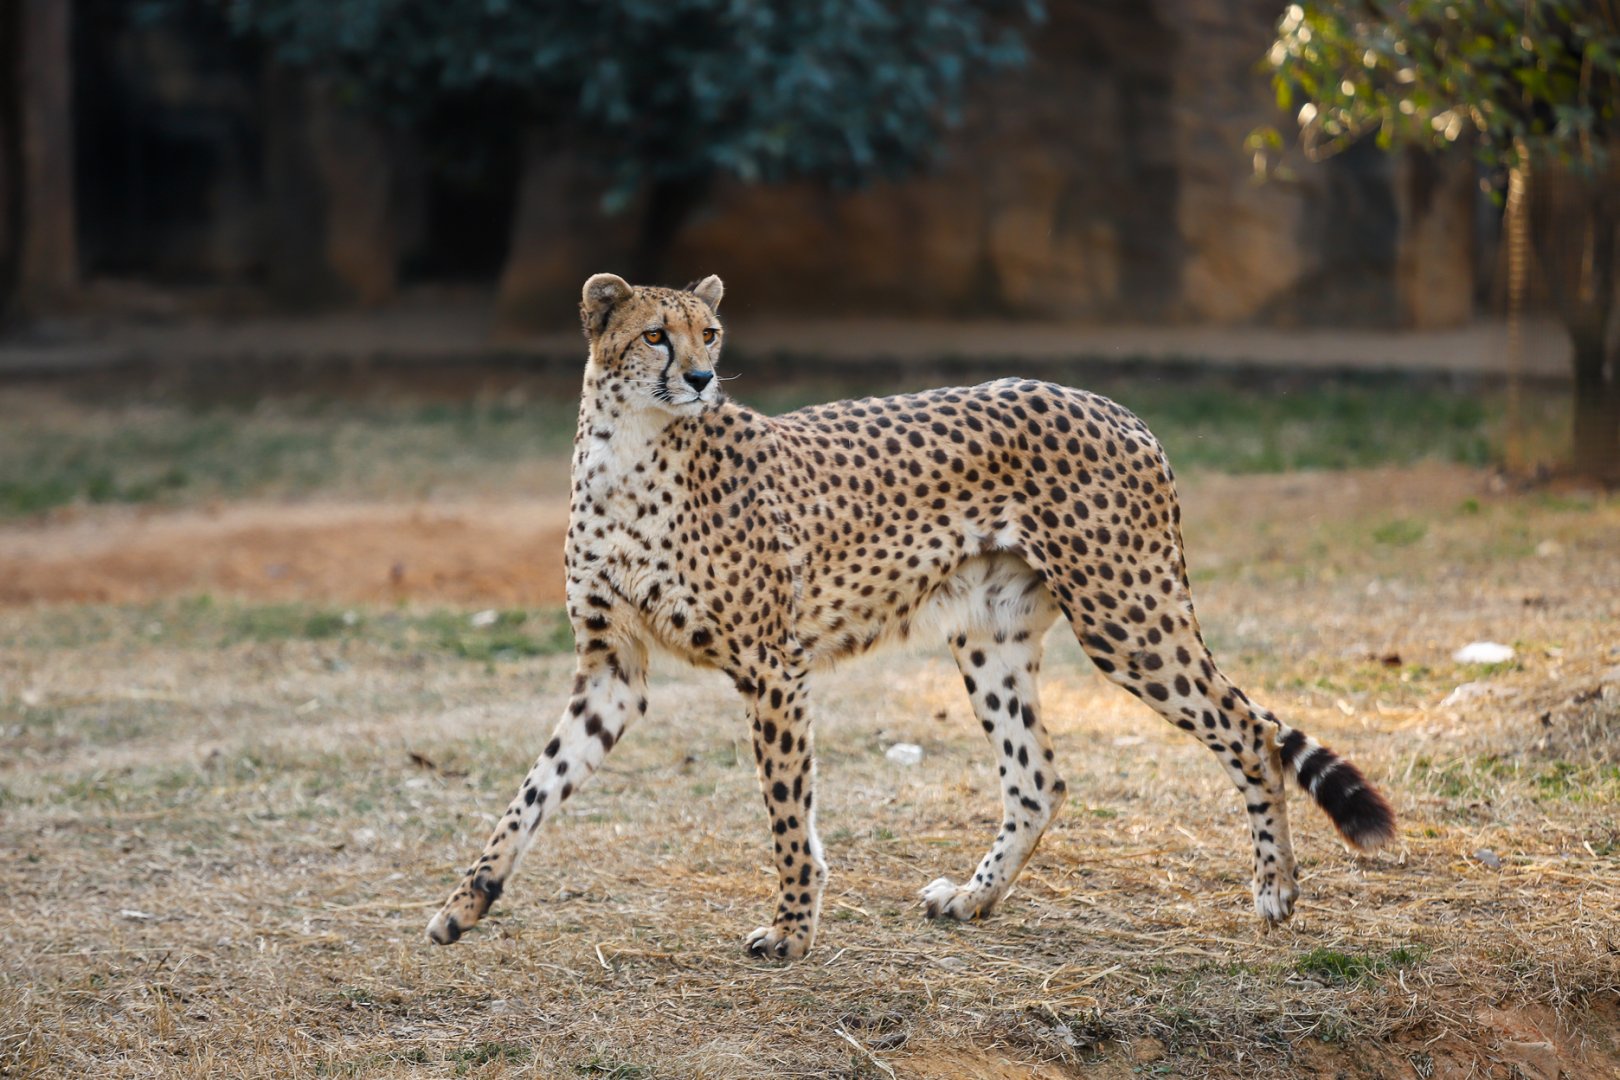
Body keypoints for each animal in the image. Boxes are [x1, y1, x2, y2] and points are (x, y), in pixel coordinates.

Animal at [425, 272, 1396, 960]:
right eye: (655, 334)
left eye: (711, 334)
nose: (699, 377)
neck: (628, 452)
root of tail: (1116, 408)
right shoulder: (611, 670)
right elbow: (532, 791)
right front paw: (465, 904)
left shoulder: (772, 665)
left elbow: (787, 810)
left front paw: (792, 929)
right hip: (990, 633)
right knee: (1039, 779)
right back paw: (975, 897)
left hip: (1125, 615)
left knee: (1249, 729)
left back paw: (1275, 893)